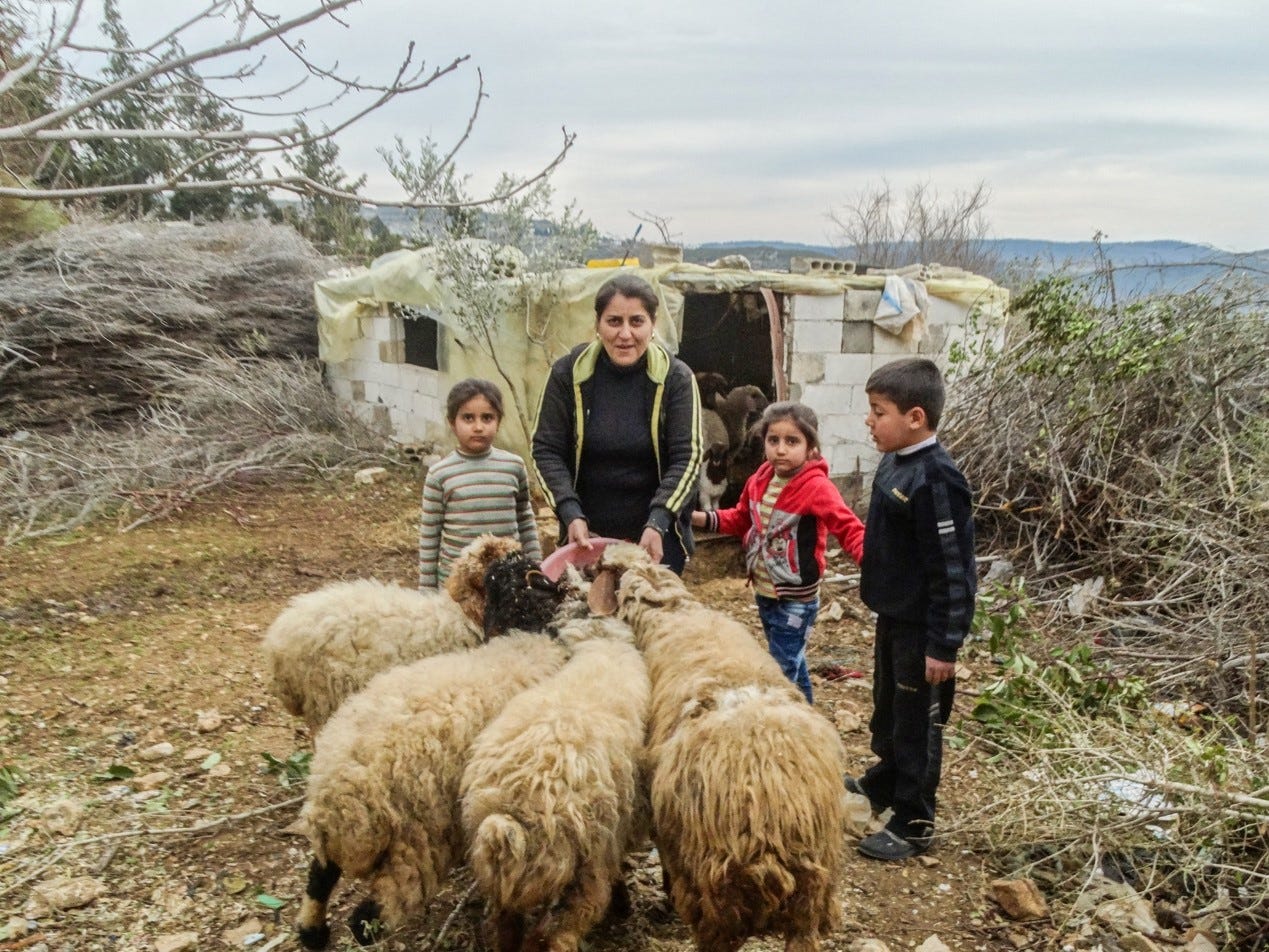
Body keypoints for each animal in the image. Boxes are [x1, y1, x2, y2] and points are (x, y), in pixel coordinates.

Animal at [293, 632, 569, 949]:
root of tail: (346, 794)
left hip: (334, 835)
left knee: (320, 875)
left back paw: (312, 932)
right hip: (417, 848)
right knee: (365, 921)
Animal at [460, 616, 650, 952]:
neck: (603, 650)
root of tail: (516, 813)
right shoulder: (615, 832)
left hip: (501, 879)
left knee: (505, 924)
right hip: (585, 865)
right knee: (560, 930)